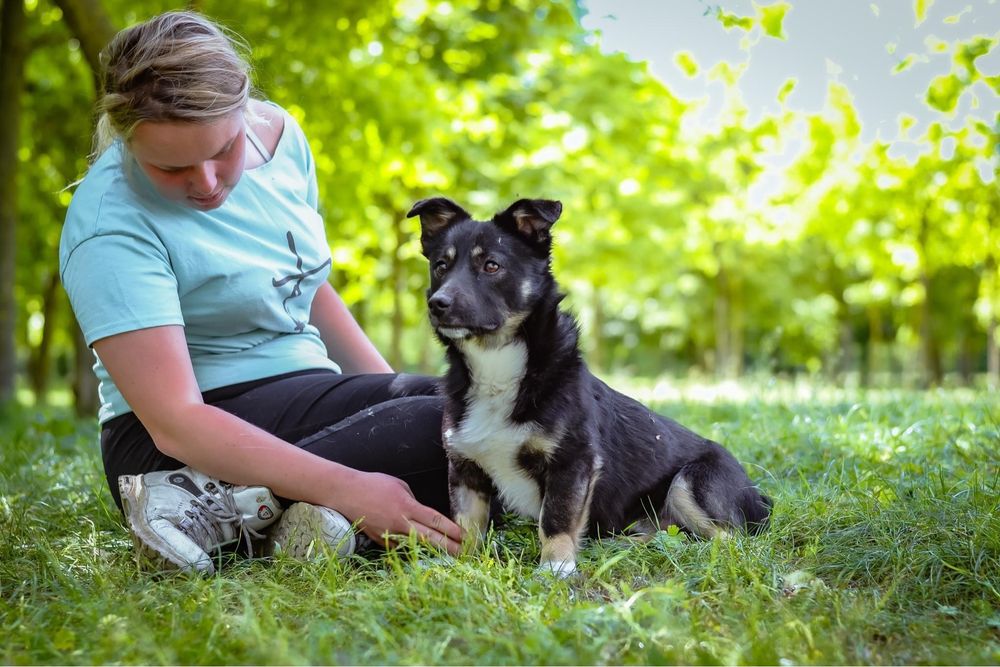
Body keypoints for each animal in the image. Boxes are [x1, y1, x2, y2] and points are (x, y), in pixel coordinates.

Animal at [406, 196, 772, 576]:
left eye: (492, 265)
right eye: (441, 266)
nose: (438, 304)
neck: (497, 366)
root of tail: (758, 496)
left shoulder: (572, 462)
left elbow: (555, 518)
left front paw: (555, 567)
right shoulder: (465, 467)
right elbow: (466, 525)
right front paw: (458, 565)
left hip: (691, 481)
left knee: (730, 541)